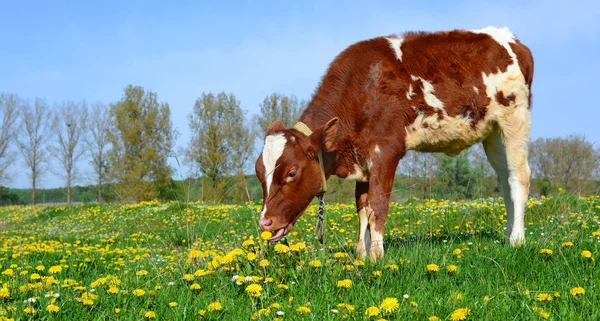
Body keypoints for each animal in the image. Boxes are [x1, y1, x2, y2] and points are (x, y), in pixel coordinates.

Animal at [253, 25, 536, 260]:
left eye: (292, 172)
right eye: (258, 173)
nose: (265, 223)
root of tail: (509, 37)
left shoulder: (386, 150)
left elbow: (378, 204)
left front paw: (377, 257)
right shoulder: (362, 158)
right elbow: (362, 207)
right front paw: (362, 255)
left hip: (514, 121)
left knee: (518, 177)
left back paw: (517, 239)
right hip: (492, 134)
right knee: (504, 179)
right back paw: (508, 234)